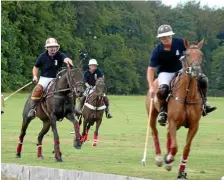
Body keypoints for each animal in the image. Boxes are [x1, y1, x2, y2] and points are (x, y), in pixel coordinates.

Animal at [145, 37, 205, 179]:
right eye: (187, 54)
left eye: (201, 55)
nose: (196, 71)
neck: (187, 94)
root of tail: (154, 82)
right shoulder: (172, 121)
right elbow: (175, 146)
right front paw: (169, 158)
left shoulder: (194, 125)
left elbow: (186, 148)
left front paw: (181, 172)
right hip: (152, 114)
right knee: (154, 131)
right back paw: (160, 158)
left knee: (168, 135)